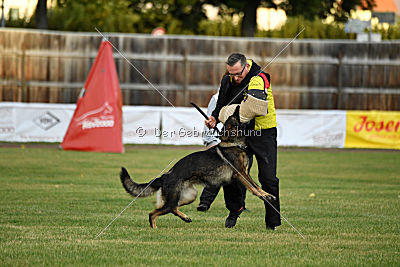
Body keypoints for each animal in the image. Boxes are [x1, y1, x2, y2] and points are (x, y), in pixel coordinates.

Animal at [119, 106, 276, 228]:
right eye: (236, 117)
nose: (239, 106)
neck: (233, 144)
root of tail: (165, 175)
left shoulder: (246, 174)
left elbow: (256, 185)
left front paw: (267, 194)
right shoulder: (241, 174)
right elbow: (253, 188)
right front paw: (264, 196)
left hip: (190, 195)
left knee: (171, 208)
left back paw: (185, 218)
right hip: (174, 198)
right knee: (154, 213)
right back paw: (155, 229)